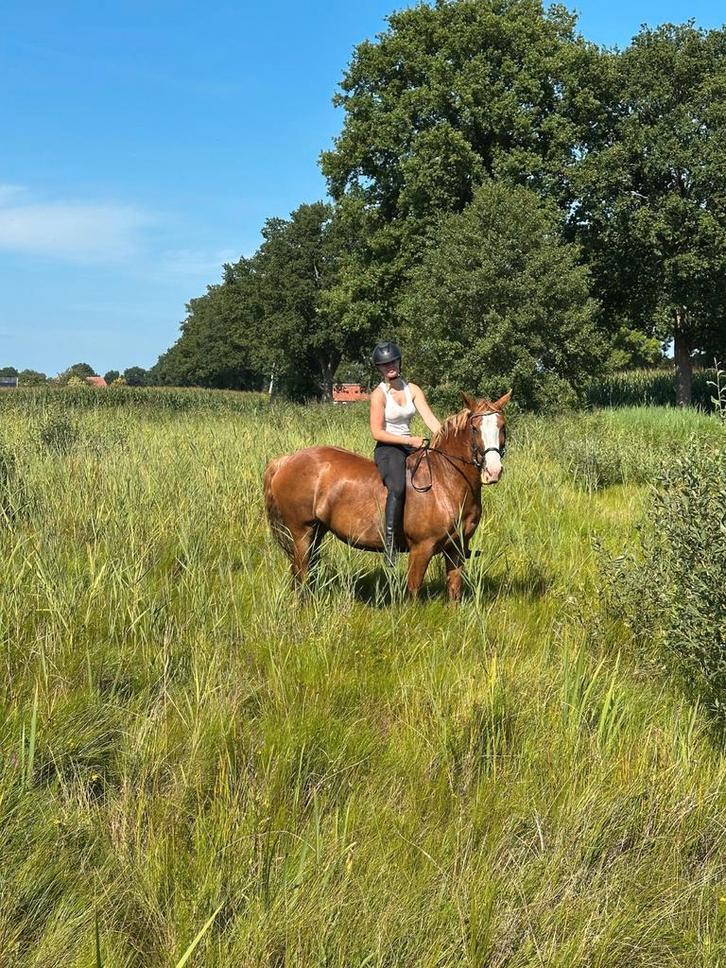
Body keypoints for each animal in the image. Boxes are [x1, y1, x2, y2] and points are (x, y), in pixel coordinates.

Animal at [263, 391, 510, 603]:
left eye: (502, 426)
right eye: (475, 428)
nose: (493, 471)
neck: (445, 482)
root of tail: (284, 461)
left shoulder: (457, 548)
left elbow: (454, 590)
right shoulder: (422, 549)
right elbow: (413, 592)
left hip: (317, 531)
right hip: (301, 532)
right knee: (301, 572)